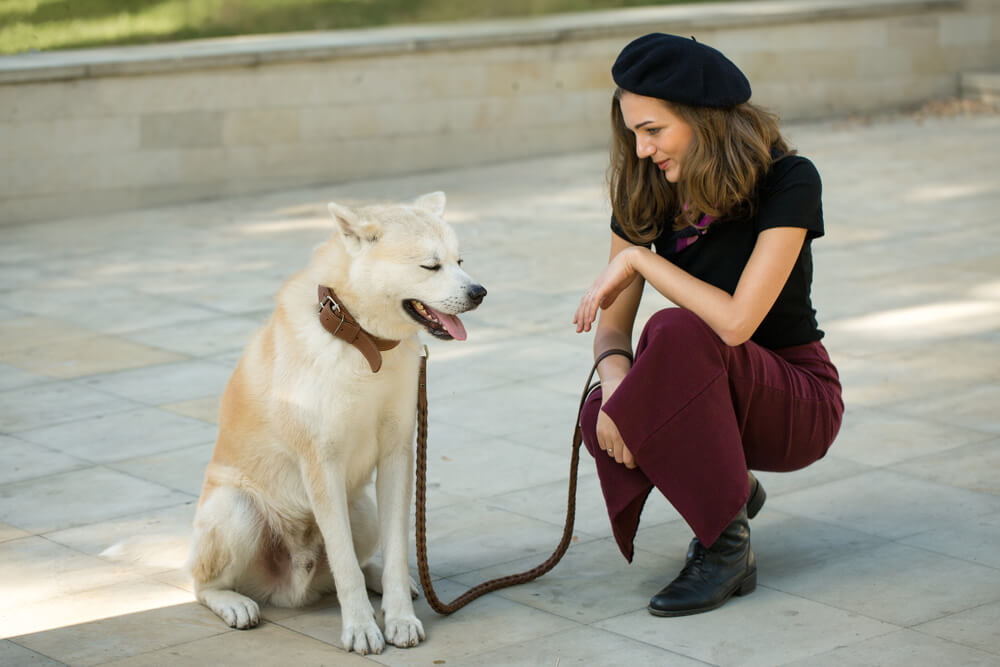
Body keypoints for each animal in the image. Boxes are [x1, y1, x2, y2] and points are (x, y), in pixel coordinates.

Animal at [189, 190, 486, 656]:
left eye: (460, 260)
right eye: (430, 266)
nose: (479, 292)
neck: (365, 345)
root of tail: (292, 589)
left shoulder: (398, 454)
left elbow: (395, 552)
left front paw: (399, 618)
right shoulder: (321, 463)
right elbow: (344, 564)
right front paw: (361, 628)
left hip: (361, 509)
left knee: (358, 565)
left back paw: (382, 579)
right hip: (235, 509)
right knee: (204, 584)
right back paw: (234, 603)